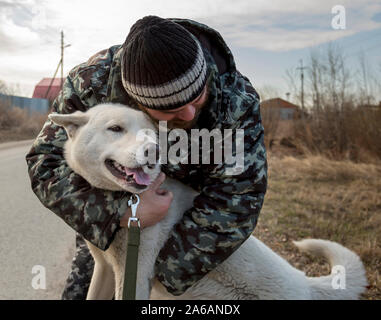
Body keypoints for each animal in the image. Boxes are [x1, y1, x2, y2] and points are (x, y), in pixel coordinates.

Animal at [49, 103, 366, 300]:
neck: (131, 204)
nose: (153, 151)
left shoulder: (134, 275)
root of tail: (305, 283)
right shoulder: (104, 269)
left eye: (151, 134)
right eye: (115, 128)